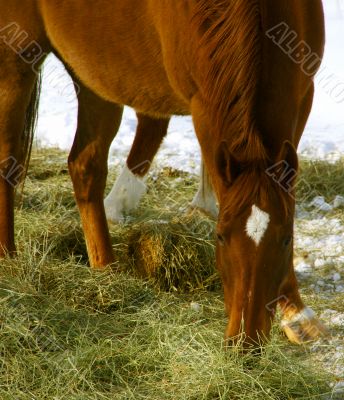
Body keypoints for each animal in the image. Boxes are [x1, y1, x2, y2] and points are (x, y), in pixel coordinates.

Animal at [0, 0, 328, 346]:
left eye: (287, 239)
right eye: (220, 237)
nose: (244, 339)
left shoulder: (300, 96)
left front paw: (297, 315)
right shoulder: (203, 107)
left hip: (93, 74)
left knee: (85, 167)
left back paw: (106, 269)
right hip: (16, 57)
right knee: (8, 159)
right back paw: (9, 259)